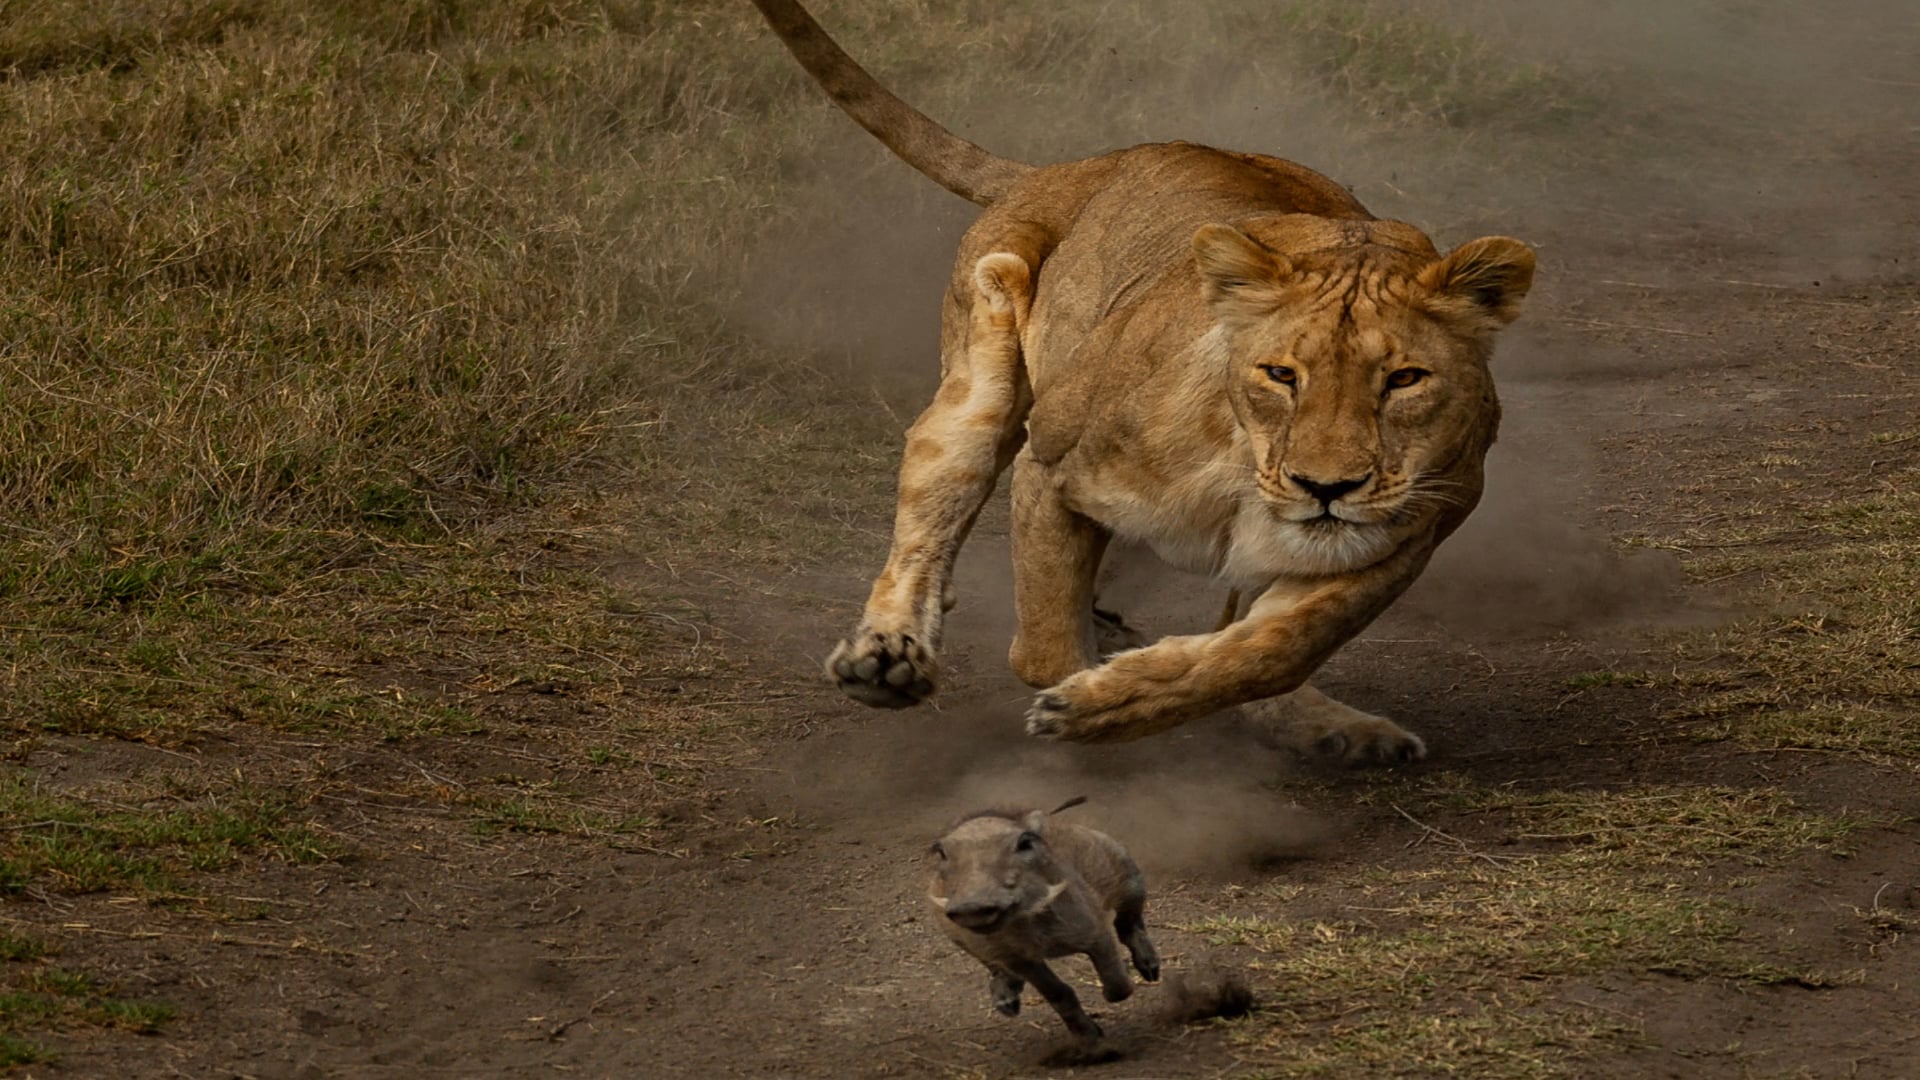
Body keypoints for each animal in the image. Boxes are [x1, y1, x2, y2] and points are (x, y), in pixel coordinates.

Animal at [750, 0, 1534, 754]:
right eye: (1281, 374)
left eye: (1405, 379)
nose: (1327, 488)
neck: (1243, 463)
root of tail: (1070, 168)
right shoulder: (1051, 466)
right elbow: (1045, 648)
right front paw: (1087, 701)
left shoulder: (1413, 531)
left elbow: (1269, 653)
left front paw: (1124, 695)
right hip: (984, 353)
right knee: (933, 504)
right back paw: (886, 658)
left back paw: (1334, 729)